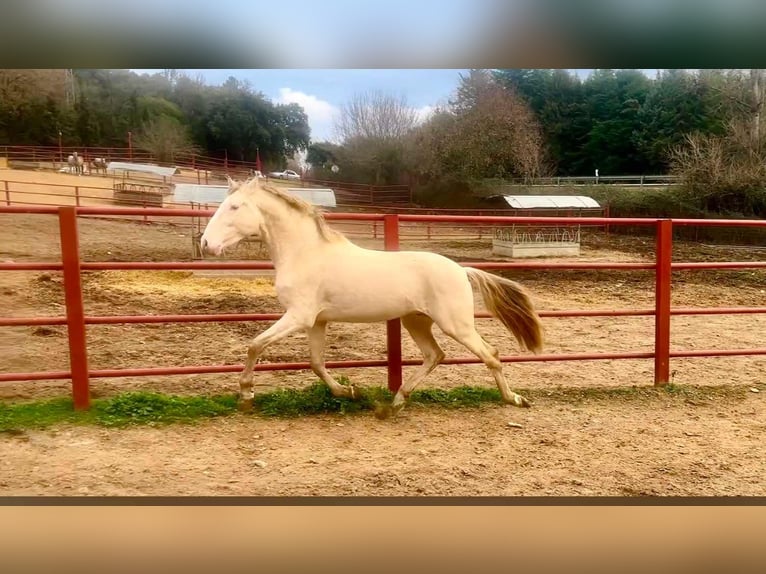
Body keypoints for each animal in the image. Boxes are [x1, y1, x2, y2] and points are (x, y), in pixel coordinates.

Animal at [200, 176, 544, 418]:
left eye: (234, 207)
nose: (205, 244)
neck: (305, 253)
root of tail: (461, 269)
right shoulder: (316, 322)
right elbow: (316, 362)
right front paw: (350, 392)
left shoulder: (298, 316)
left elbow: (255, 345)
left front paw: (246, 396)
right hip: (416, 321)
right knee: (435, 355)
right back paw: (395, 403)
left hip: (455, 324)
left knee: (490, 354)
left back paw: (514, 399)